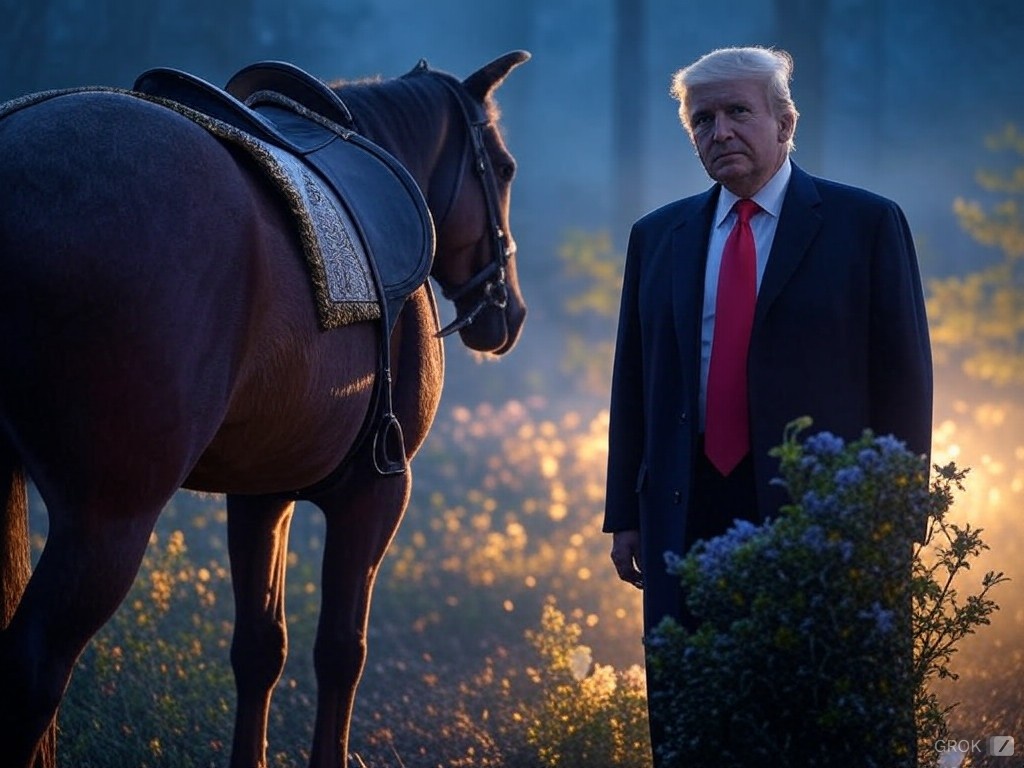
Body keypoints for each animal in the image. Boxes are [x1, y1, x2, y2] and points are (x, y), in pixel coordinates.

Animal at [0, 51, 528, 765]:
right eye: (502, 167)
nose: (509, 312)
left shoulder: (260, 493)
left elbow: (259, 649)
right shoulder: (376, 492)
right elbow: (341, 652)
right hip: (108, 519)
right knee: (33, 674)